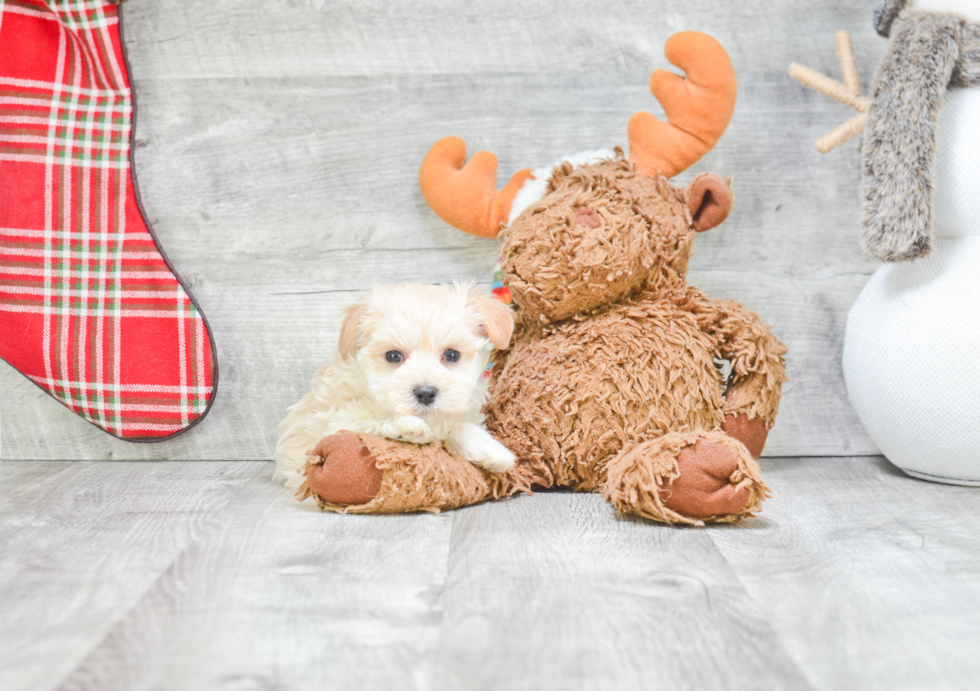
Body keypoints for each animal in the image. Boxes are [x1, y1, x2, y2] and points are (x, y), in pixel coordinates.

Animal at [272, 284, 516, 490]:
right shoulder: (332, 424)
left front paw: (492, 450)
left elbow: (458, 425)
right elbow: (369, 422)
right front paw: (405, 426)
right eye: (393, 356)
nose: (425, 393)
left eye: (452, 355)